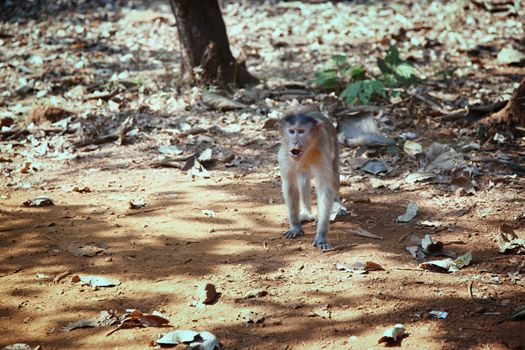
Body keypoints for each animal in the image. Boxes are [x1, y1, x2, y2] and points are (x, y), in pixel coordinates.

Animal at [276, 108, 346, 250]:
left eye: (301, 131)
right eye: (291, 131)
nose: (295, 142)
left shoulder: (322, 151)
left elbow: (325, 188)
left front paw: (321, 236)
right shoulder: (285, 155)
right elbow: (290, 185)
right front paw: (295, 226)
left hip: (335, 145)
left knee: (334, 177)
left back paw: (337, 204)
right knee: (303, 179)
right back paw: (306, 212)